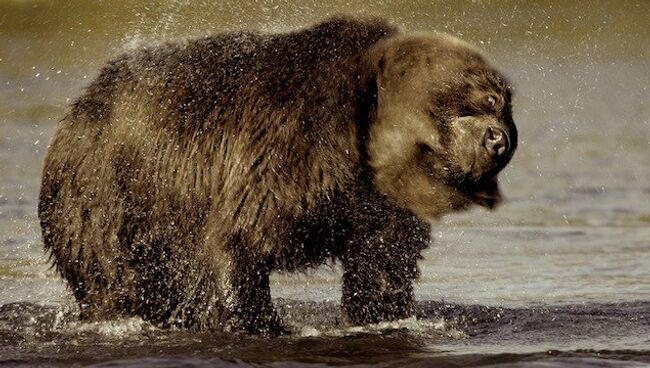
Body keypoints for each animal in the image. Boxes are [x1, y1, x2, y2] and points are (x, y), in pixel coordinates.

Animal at [39, 16, 516, 334]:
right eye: (475, 104)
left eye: (502, 105)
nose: (498, 140)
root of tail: (78, 105)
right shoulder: (283, 153)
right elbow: (239, 241)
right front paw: (261, 322)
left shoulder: (375, 202)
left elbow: (382, 261)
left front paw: (383, 314)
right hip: (108, 191)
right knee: (111, 274)